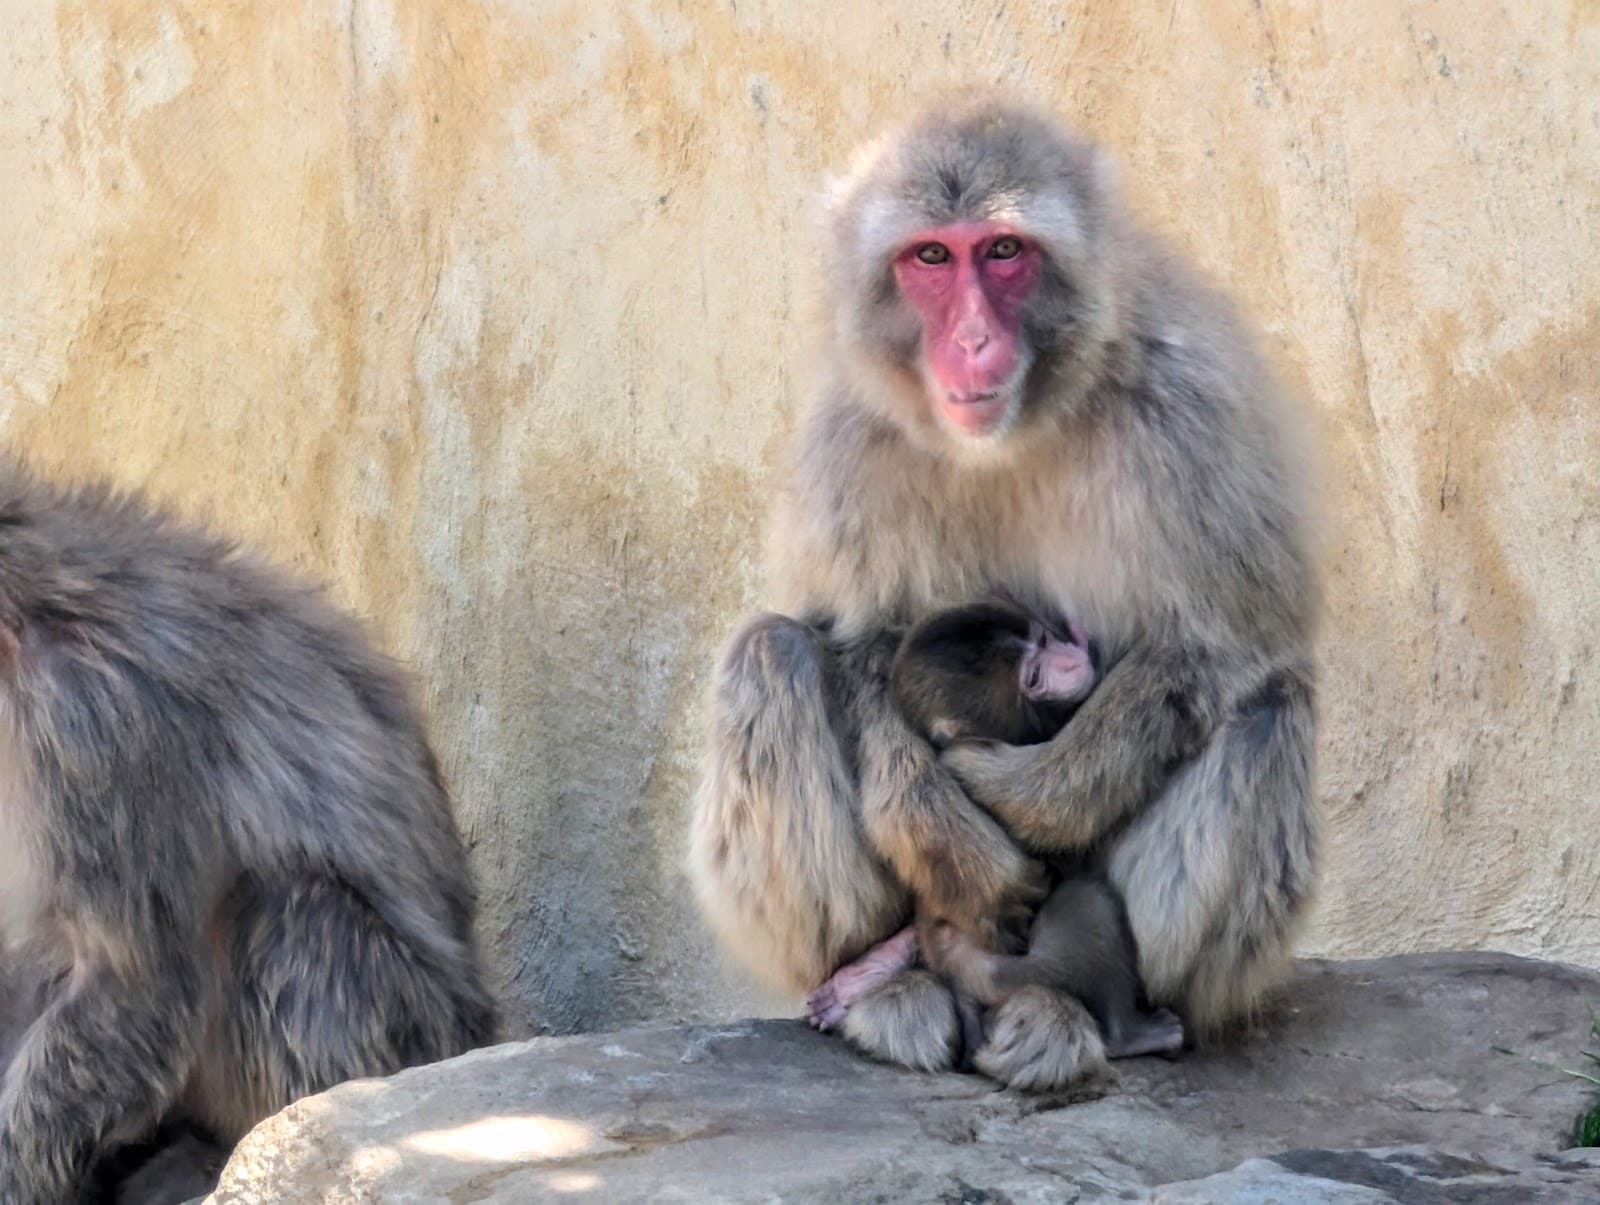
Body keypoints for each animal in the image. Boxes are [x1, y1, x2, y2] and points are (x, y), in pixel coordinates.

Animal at [806, 598, 1185, 1064]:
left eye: (1042, 640)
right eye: (1033, 678)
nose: (1070, 660)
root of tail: (961, 977)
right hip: (1013, 973)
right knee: (1088, 905)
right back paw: (1129, 1035)